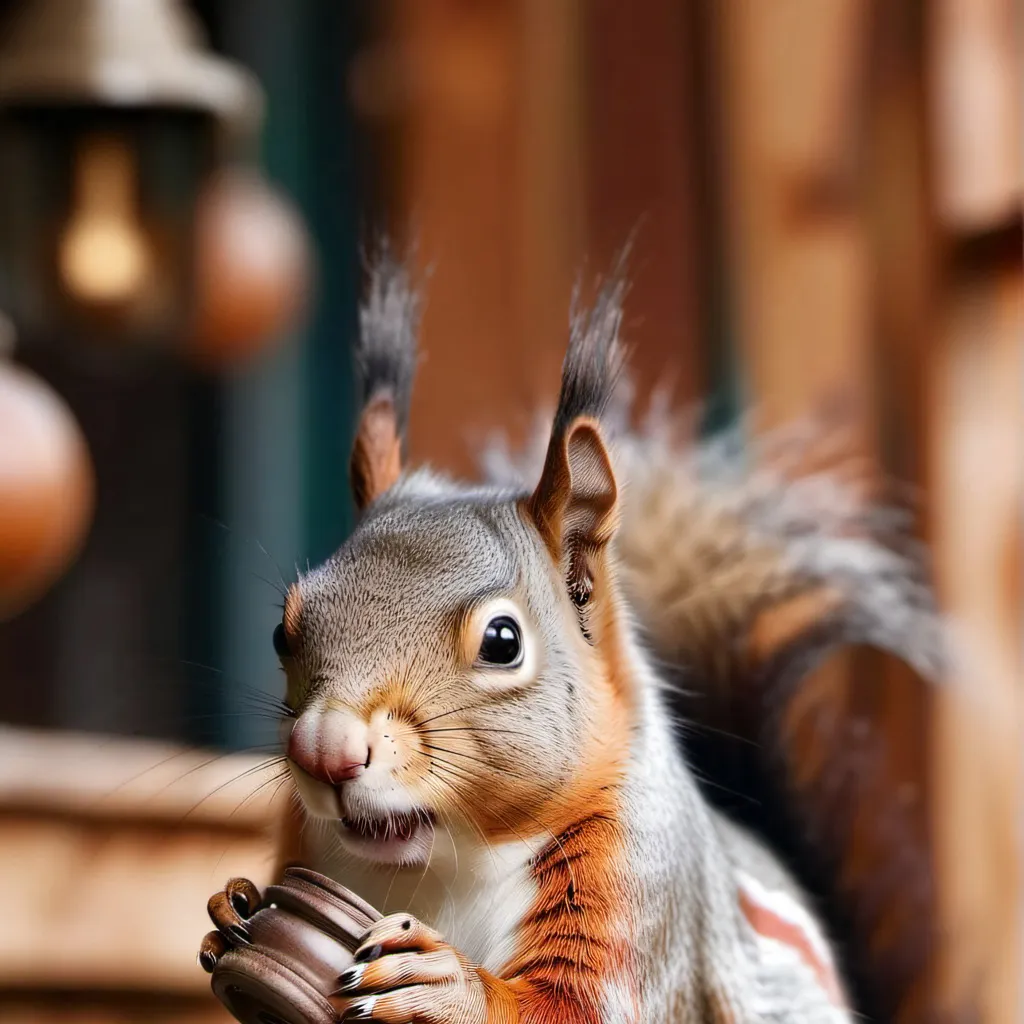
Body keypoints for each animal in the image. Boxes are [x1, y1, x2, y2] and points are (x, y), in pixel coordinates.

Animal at [200, 249, 945, 1023]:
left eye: (503, 642)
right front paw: (232, 907)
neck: (439, 862)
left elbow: (573, 1007)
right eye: (281, 631)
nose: (323, 751)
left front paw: (443, 985)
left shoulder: (640, 890)